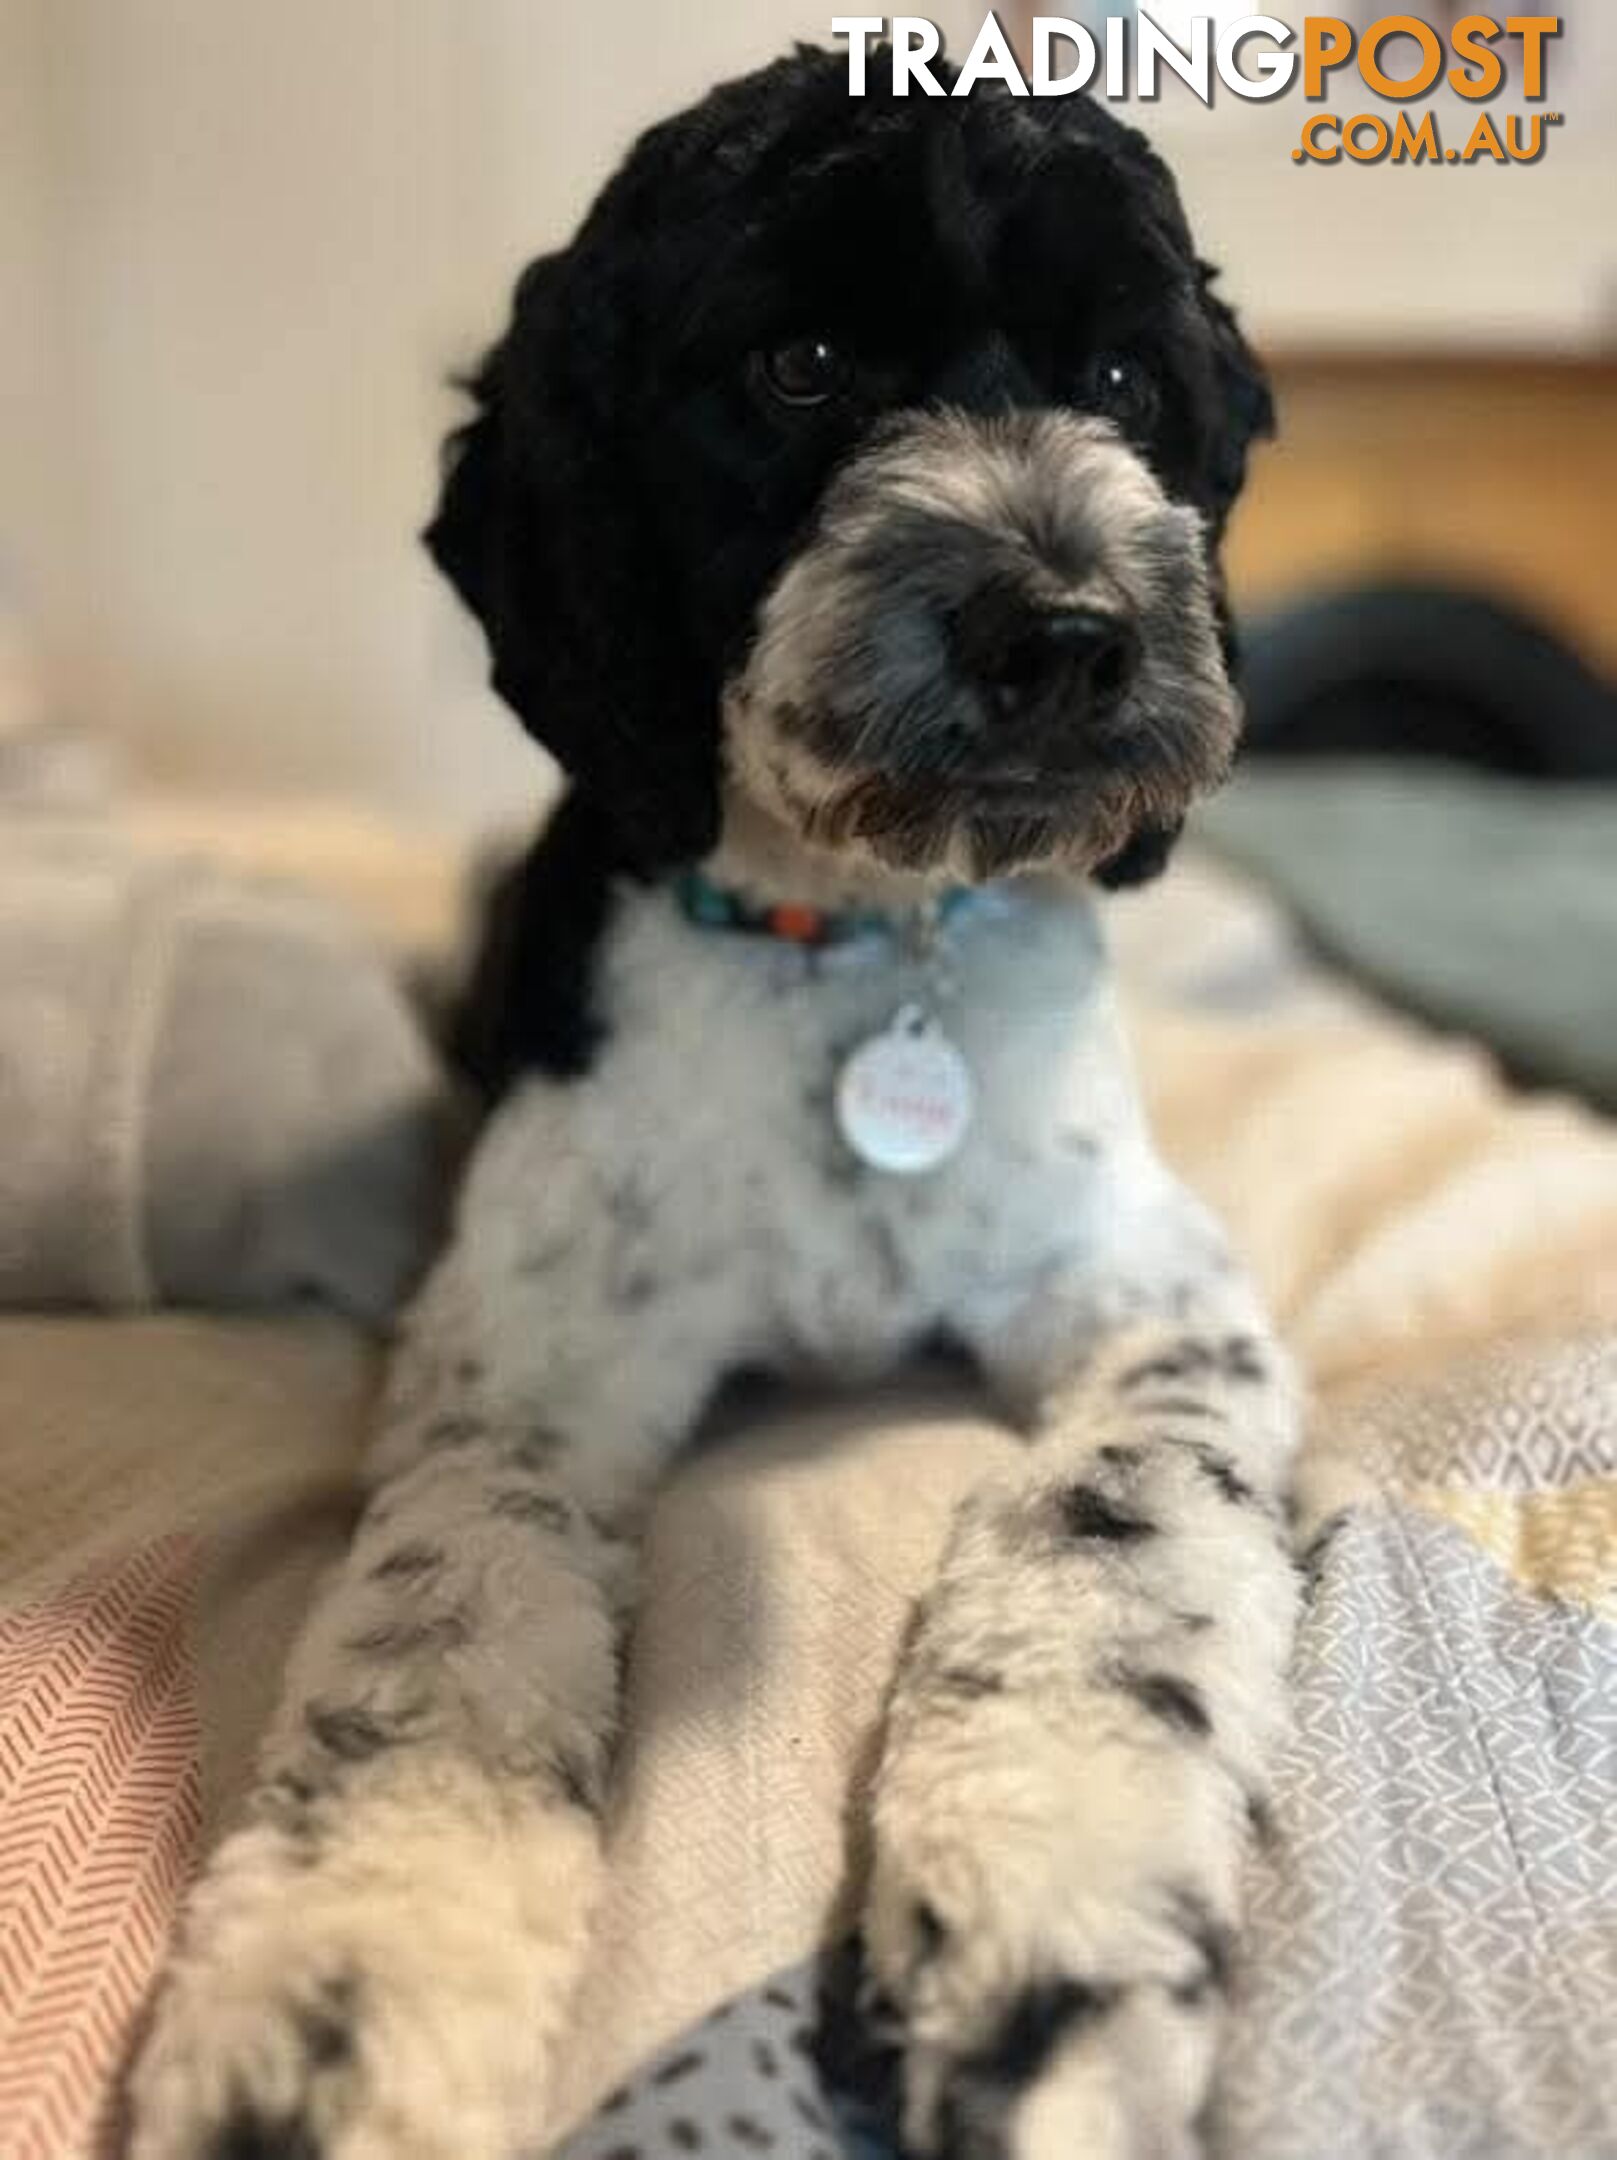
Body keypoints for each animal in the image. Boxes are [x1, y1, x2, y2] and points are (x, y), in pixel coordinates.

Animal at [135, 46, 1295, 2160]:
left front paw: (1050, 1932)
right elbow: (440, 1634)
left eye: (1117, 376)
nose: (1064, 631)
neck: (858, 952)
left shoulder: (1155, 1296)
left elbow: (1117, 1527)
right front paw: (336, 2006)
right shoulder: (527, 1365)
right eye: (802, 364)